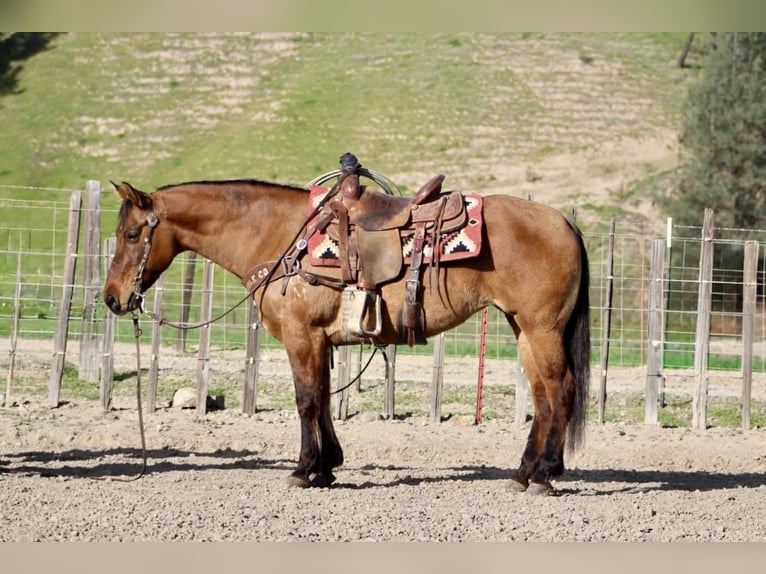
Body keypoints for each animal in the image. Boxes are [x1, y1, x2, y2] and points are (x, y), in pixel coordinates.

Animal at [103, 175, 591, 494]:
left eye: (131, 234)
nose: (112, 299)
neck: (281, 238)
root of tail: (564, 222)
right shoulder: (319, 340)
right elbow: (321, 398)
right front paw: (327, 466)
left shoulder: (301, 336)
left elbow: (304, 400)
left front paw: (303, 469)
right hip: (523, 328)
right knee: (543, 396)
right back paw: (523, 473)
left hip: (542, 328)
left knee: (561, 389)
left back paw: (545, 474)